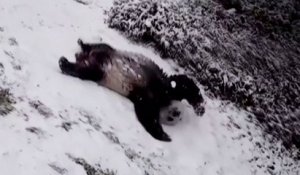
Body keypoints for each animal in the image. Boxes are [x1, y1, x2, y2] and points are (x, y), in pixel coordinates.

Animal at [58, 39, 205, 142]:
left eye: (174, 119)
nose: (175, 113)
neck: (162, 102)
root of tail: (83, 56)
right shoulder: (162, 88)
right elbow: (182, 84)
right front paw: (199, 107)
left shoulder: (140, 97)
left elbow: (145, 113)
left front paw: (162, 134)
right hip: (109, 52)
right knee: (99, 47)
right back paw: (77, 49)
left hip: (99, 72)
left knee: (87, 71)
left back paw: (66, 62)